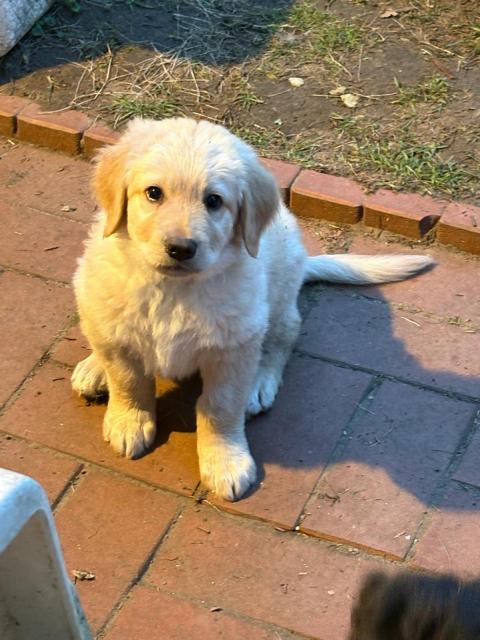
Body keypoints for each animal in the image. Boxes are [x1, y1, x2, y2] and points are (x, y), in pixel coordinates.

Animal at [71, 117, 433, 501]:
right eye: (154, 193)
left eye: (214, 201)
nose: (181, 248)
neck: (174, 289)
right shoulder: (116, 333)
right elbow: (128, 381)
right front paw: (129, 420)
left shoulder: (235, 346)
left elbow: (220, 406)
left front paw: (225, 460)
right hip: (92, 300)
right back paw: (94, 368)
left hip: (276, 301)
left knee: (282, 339)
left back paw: (260, 383)